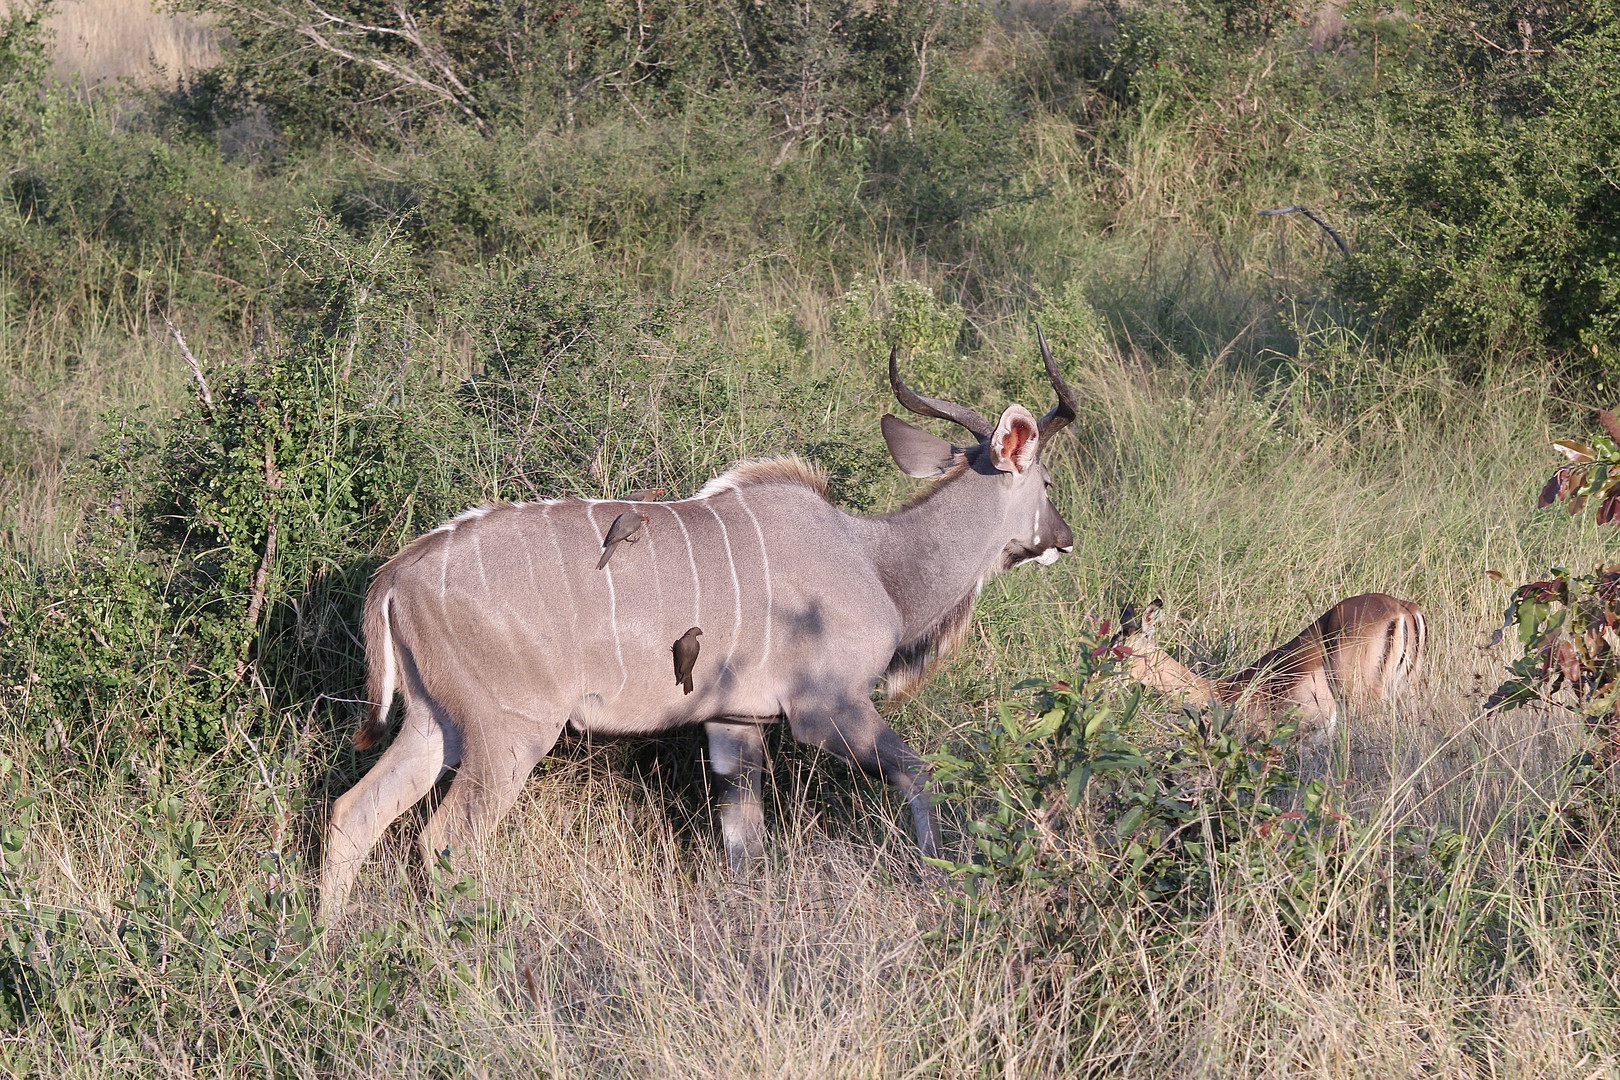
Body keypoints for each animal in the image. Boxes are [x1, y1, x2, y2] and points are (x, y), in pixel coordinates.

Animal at [319, 338, 1075, 919]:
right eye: (1045, 484)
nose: (1064, 539)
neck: (875, 559)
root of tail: (397, 575)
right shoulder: (827, 710)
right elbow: (918, 773)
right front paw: (938, 876)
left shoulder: (734, 722)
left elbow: (745, 847)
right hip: (510, 733)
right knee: (446, 841)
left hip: (434, 724)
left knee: (352, 815)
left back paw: (325, 946)